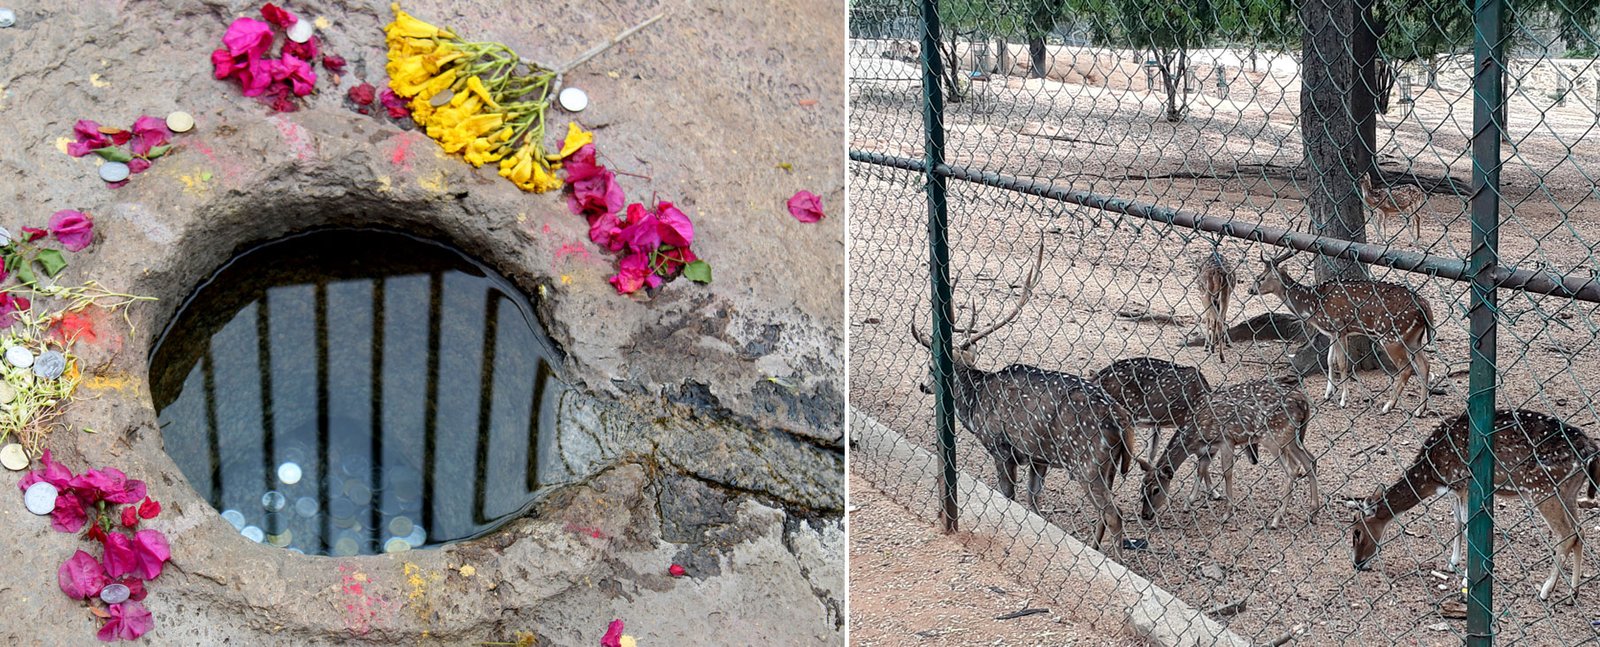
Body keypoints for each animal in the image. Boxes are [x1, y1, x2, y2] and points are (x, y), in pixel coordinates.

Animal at [915, 240, 1139, 547]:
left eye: (930, 365)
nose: (923, 386)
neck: (974, 404)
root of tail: (1123, 421)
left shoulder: (1000, 445)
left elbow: (1009, 496)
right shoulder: (1038, 457)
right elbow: (1034, 503)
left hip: (1087, 462)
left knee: (1114, 514)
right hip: (1111, 466)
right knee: (1103, 515)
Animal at [1139, 376, 1324, 528]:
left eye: (1156, 489)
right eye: (1142, 489)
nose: (1145, 515)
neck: (1194, 433)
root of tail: (1304, 402)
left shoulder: (1226, 440)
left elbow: (1226, 472)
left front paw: (1227, 513)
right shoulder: (1208, 448)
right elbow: (1201, 469)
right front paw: (1189, 503)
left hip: (1275, 436)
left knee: (1293, 468)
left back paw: (1277, 519)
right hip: (1291, 437)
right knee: (1310, 460)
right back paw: (1313, 512)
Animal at [1241, 249, 1433, 416]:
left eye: (1261, 277)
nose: (1250, 289)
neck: (1313, 305)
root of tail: (1424, 305)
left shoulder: (1339, 327)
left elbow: (1342, 363)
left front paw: (1343, 400)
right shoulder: (1332, 332)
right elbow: (1329, 360)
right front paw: (1328, 393)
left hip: (1391, 336)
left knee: (1407, 368)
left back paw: (1388, 406)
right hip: (1413, 338)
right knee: (1425, 364)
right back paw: (1420, 410)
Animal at [1350, 409, 1600, 602]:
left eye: (1357, 532)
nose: (1356, 562)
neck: (1430, 474)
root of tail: (1589, 450)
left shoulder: (1465, 483)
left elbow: (1469, 527)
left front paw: (1466, 577)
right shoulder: (1454, 488)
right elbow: (1458, 522)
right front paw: (1452, 563)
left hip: (1543, 488)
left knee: (1566, 534)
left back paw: (1546, 590)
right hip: (1569, 491)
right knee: (1580, 531)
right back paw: (1572, 593)